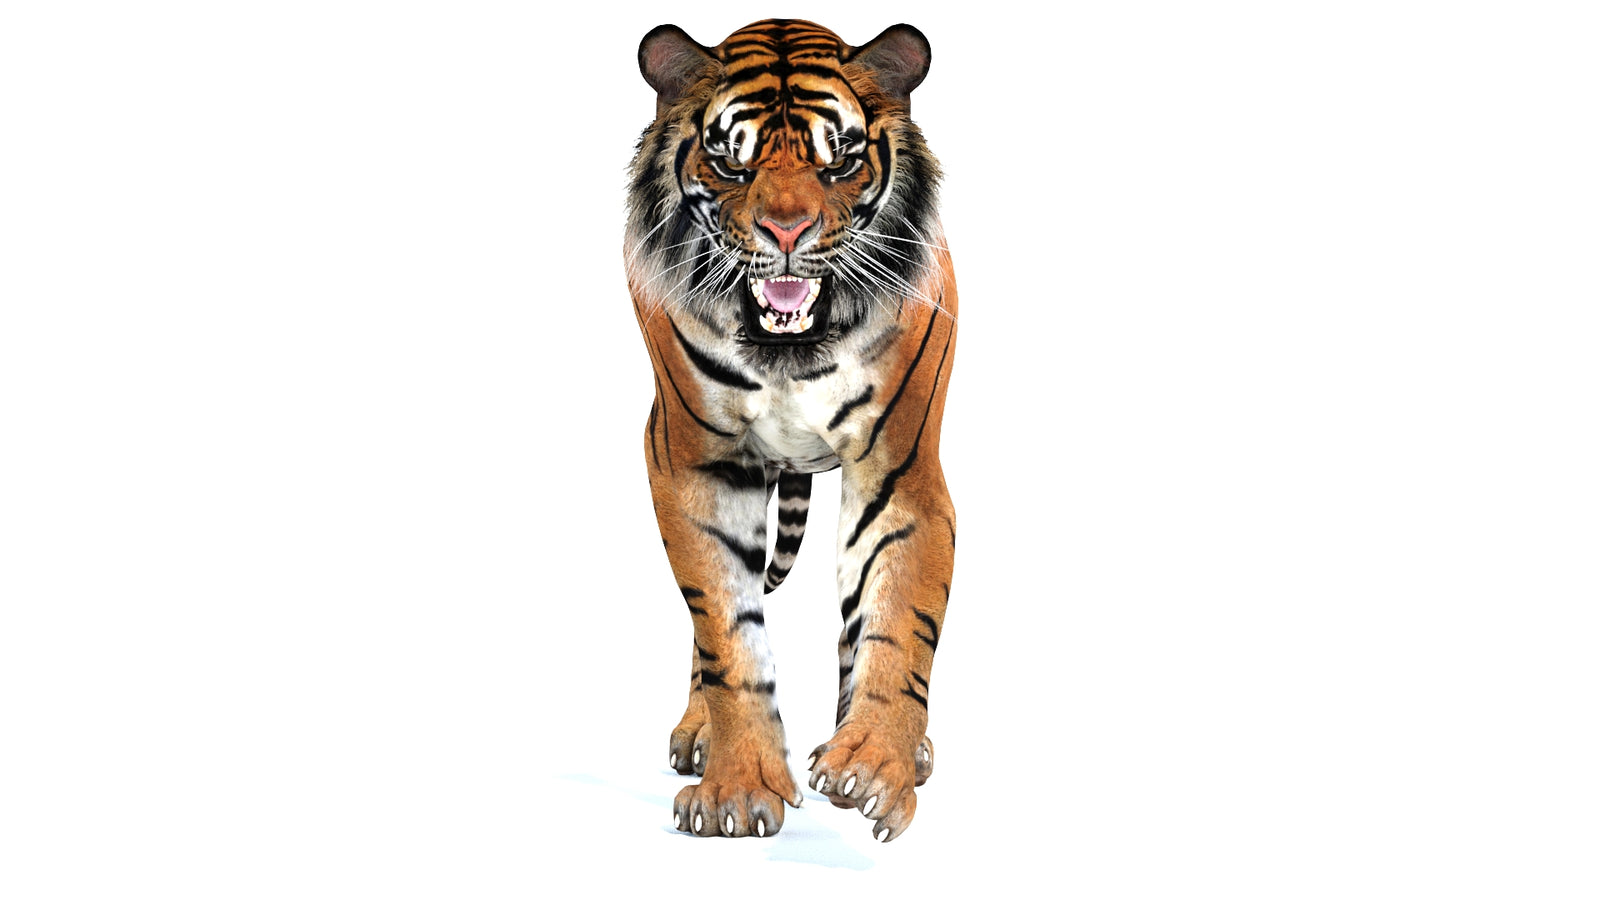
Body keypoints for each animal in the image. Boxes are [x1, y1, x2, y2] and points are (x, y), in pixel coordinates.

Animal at [625, 18, 957, 842]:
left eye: (838, 160)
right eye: (729, 163)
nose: (786, 229)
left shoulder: (899, 472)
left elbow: (895, 620)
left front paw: (874, 764)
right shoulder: (692, 466)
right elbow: (726, 633)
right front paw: (738, 787)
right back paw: (698, 732)